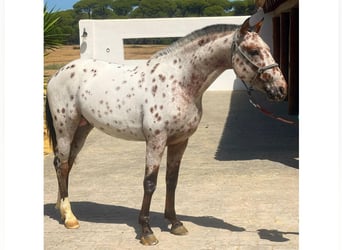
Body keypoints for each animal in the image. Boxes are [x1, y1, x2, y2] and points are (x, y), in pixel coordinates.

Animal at [44, 17, 286, 246]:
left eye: (268, 48)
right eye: (253, 51)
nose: (281, 89)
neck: (177, 81)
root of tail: (58, 73)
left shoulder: (180, 141)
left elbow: (172, 180)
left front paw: (175, 222)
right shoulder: (156, 141)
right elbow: (150, 183)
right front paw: (146, 231)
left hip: (82, 129)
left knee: (67, 165)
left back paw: (62, 209)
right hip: (65, 127)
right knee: (62, 165)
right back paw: (70, 218)